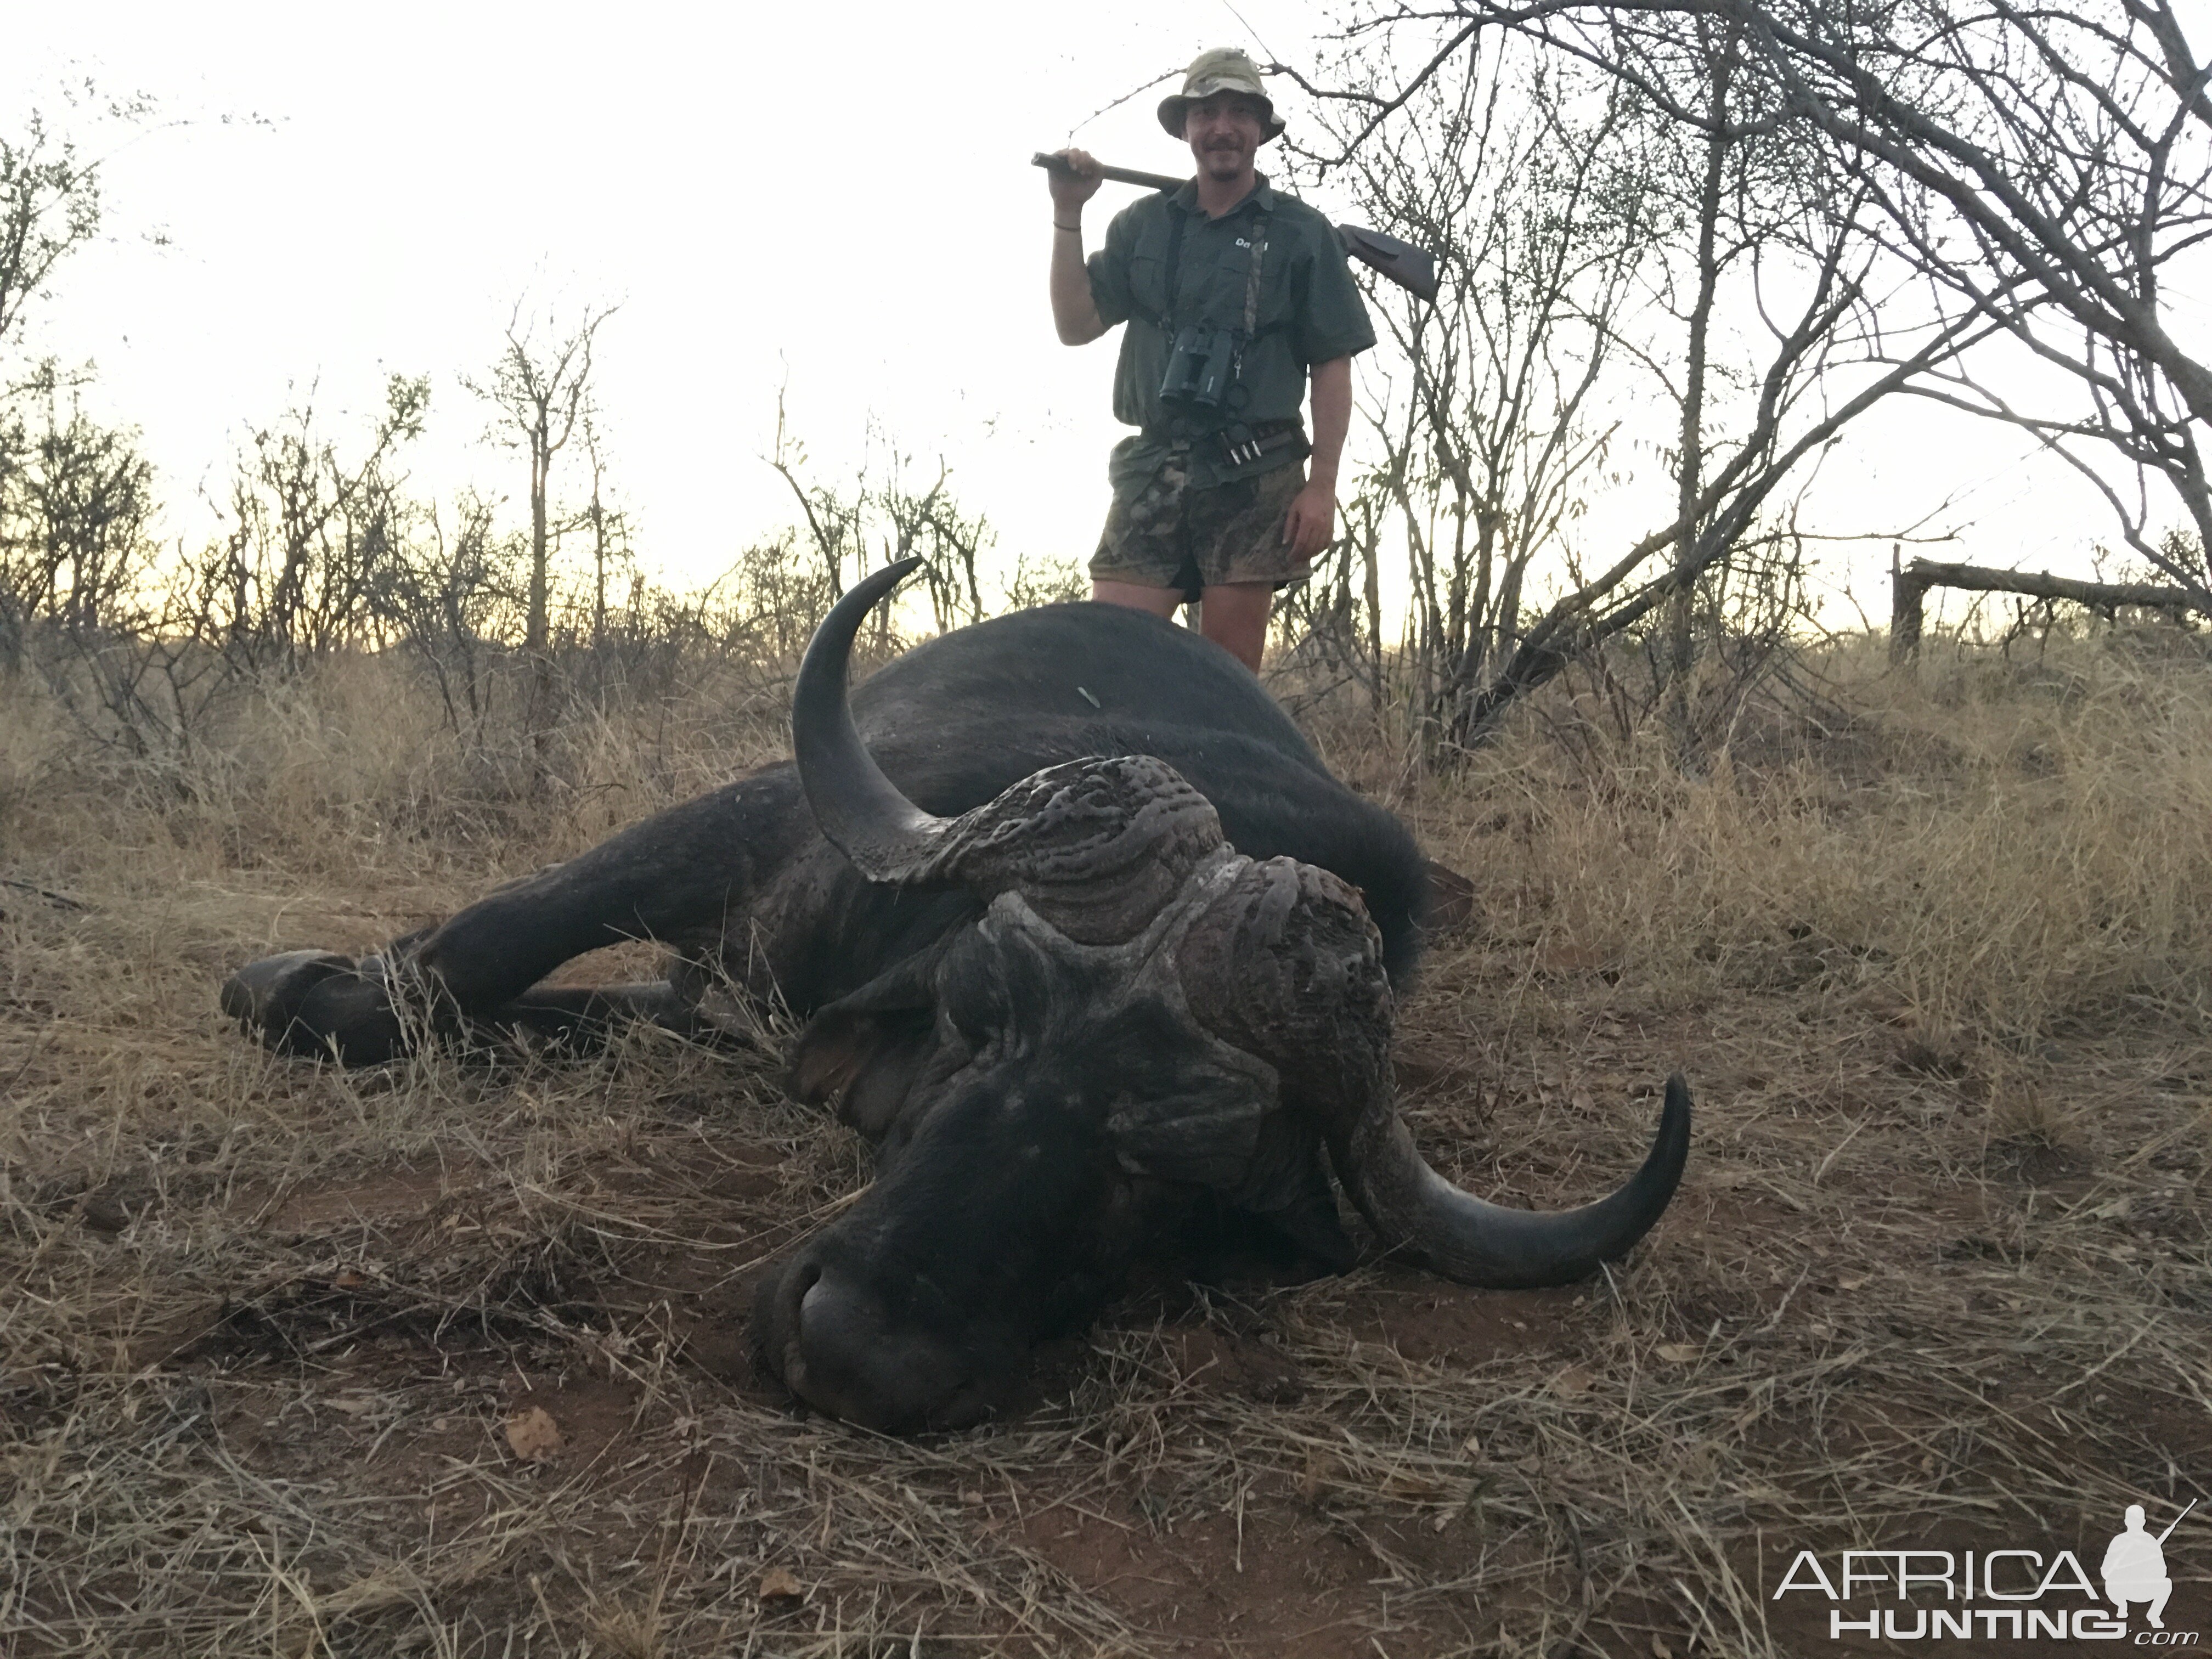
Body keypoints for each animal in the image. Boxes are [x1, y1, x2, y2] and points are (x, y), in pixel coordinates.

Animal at [224, 562, 1681, 1442]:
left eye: (1180, 1165)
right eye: (986, 1006)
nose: (857, 1349)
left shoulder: (708, 1010)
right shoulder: (739, 836)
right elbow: (498, 937)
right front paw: (296, 983)